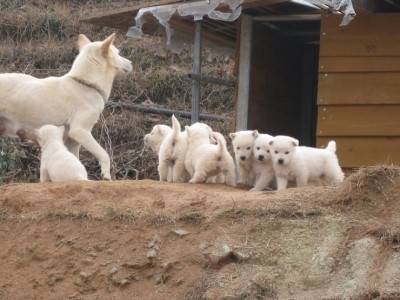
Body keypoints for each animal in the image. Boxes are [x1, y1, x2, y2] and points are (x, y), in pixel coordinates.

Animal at [0, 33, 134, 178]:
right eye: (118, 53)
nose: (131, 63)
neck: (86, 84)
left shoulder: (73, 142)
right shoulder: (80, 131)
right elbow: (104, 155)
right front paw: (106, 175)